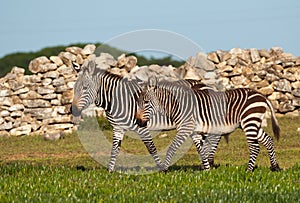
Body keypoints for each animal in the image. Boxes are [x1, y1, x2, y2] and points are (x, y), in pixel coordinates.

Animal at [70, 59, 211, 172]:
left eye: (85, 88)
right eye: (74, 88)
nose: (74, 111)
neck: (120, 101)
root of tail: (201, 82)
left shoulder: (141, 127)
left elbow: (151, 148)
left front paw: (162, 169)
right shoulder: (118, 128)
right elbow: (115, 149)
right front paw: (110, 171)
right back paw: (205, 166)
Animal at [136, 77, 282, 171]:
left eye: (146, 102)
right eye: (138, 102)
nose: (138, 121)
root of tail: (262, 95)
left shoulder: (185, 129)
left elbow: (172, 148)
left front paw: (164, 169)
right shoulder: (195, 132)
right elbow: (201, 150)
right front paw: (207, 170)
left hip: (249, 121)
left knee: (255, 147)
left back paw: (248, 171)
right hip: (252, 123)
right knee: (268, 140)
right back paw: (275, 167)